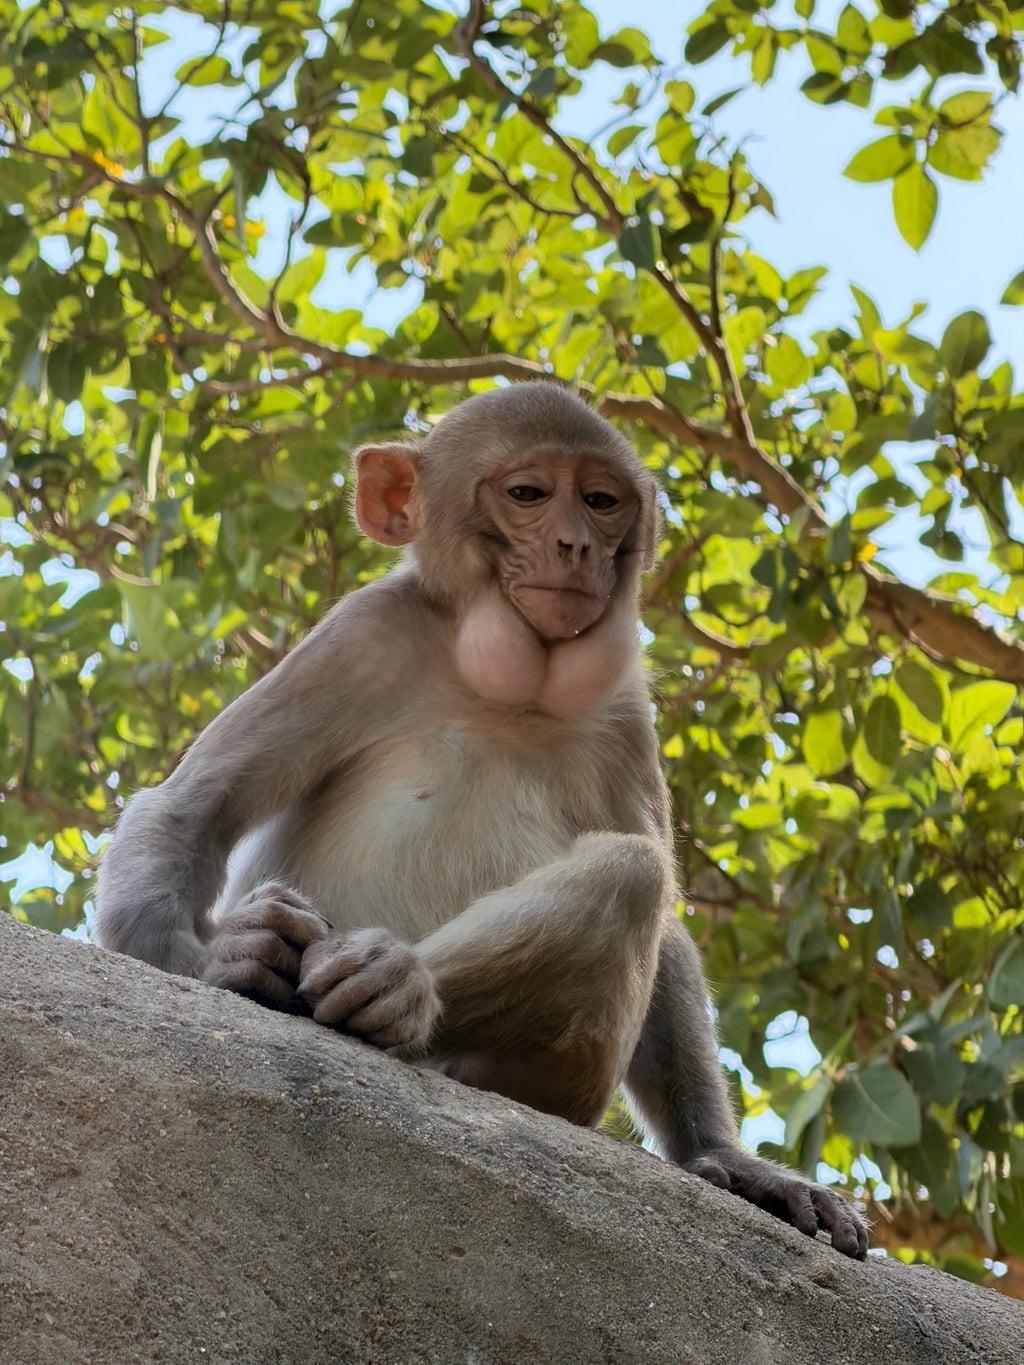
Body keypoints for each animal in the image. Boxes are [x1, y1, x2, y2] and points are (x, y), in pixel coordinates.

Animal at [94, 382, 868, 1260]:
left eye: (601, 501)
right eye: (528, 493)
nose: (576, 545)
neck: (510, 687)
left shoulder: (624, 710)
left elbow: (667, 929)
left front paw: (724, 1156)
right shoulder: (363, 636)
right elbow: (193, 808)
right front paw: (216, 960)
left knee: (629, 874)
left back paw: (396, 986)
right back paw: (288, 959)